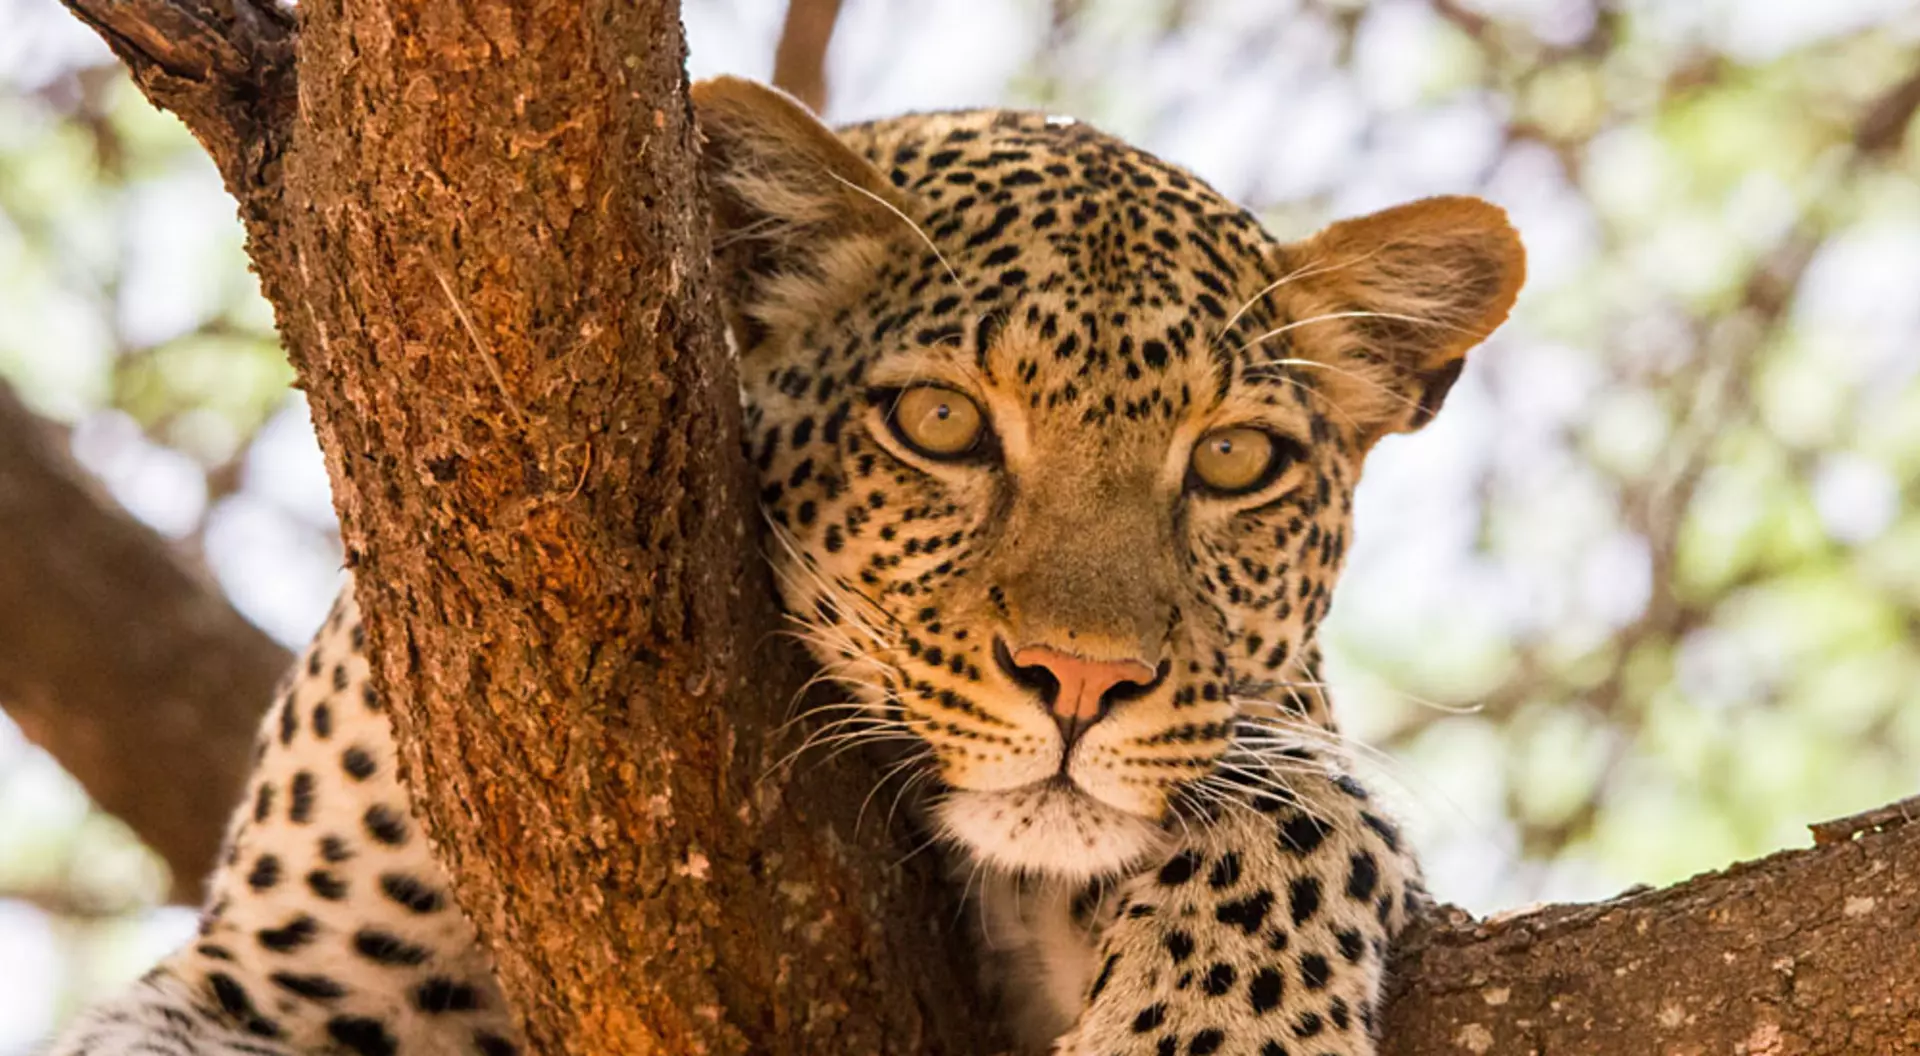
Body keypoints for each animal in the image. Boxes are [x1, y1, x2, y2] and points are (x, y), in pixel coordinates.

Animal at [43, 75, 1523, 1056]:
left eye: (1231, 462)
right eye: (940, 423)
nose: (1081, 681)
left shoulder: (1271, 745)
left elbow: (1301, 803)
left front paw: (1205, 1029)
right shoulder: (271, 986)